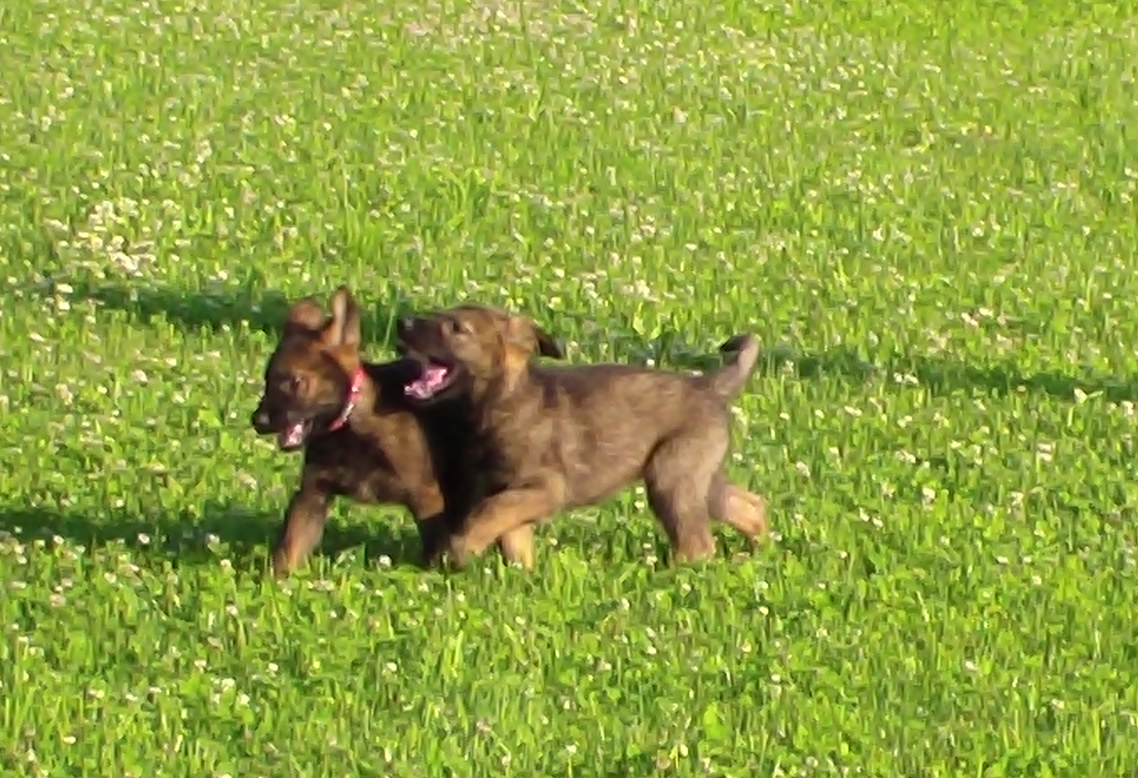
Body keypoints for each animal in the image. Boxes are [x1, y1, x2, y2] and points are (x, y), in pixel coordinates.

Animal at [249, 287, 539, 577]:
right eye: (267, 380)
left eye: (296, 382)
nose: (257, 421)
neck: (352, 428)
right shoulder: (312, 495)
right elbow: (288, 550)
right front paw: (276, 582)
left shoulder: (427, 498)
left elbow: (435, 552)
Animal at [394, 303, 769, 569]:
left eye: (457, 328)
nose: (402, 323)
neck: (500, 404)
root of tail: (706, 386)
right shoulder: (509, 490)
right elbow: (510, 533)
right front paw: (521, 576)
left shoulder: (544, 488)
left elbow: (486, 514)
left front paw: (459, 548)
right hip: (697, 477)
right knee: (749, 506)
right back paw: (759, 550)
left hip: (671, 476)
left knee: (698, 544)